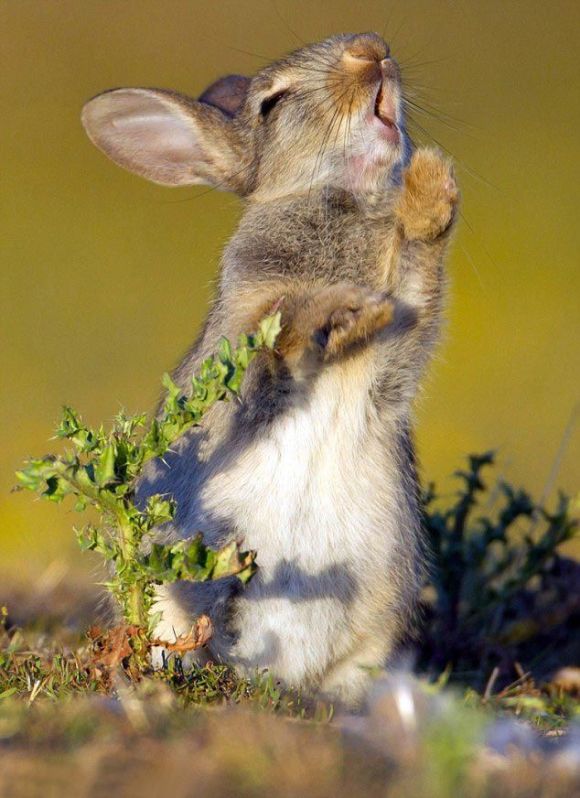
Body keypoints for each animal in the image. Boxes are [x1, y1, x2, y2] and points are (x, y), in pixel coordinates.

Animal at [81, 32, 460, 708]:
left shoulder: (397, 355)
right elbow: (279, 339)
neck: (336, 202)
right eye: (273, 103)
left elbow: (417, 277)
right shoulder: (247, 360)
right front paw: (346, 307)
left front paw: (431, 185)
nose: (371, 48)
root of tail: (277, 671)